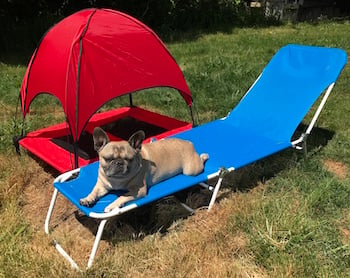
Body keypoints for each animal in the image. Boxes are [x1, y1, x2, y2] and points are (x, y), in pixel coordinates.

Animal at [79, 127, 208, 212]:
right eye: (108, 158)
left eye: (129, 159)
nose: (119, 162)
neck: (117, 179)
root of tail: (188, 143)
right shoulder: (101, 186)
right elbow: (93, 192)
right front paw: (87, 199)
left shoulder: (138, 190)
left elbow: (122, 196)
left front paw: (112, 206)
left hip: (191, 170)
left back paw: (204, 156)